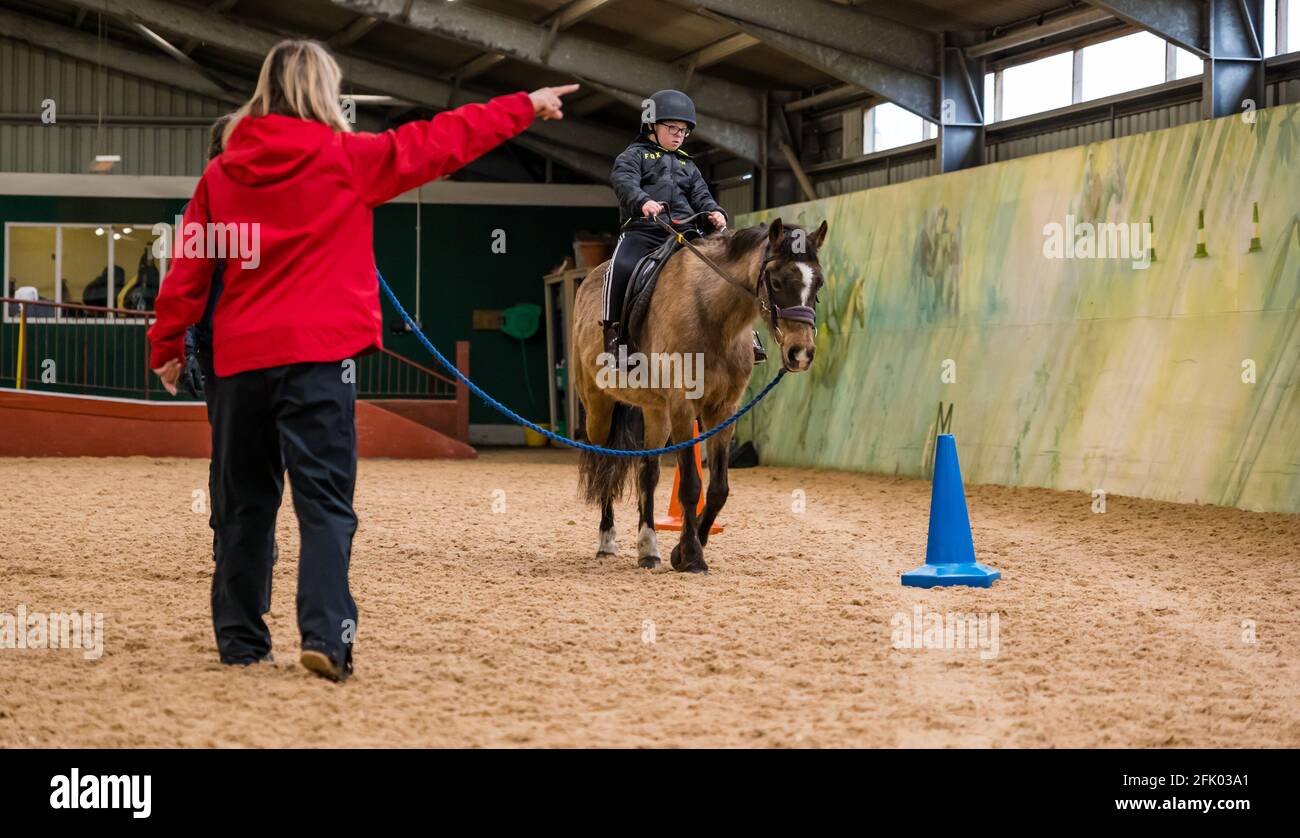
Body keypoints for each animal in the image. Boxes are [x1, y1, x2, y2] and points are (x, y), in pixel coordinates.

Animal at [574, 215, 826, 571]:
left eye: (818, 284)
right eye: (776, 282)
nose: (800, 353)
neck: (712, 314)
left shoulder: (723, 409)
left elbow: (718, 488)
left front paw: (683, 550)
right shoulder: (683, 407)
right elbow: (691, 486)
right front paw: (692, 556)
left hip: (656, 411)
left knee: (647, 473)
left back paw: (648, 549)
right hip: (598, 406)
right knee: (606, 464)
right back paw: (607, 540)